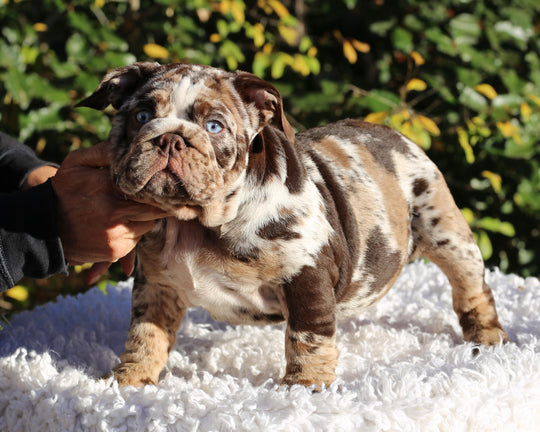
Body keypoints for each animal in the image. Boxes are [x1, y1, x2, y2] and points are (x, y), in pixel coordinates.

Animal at [78, 61, 508, 388]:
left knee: (472, 288)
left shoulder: (306, 275)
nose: (169, 138)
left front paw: (305, 386)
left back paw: (486, 337)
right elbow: (145, 336)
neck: (195, 222)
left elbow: (308, 336)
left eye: (214, 126)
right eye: (141, 116)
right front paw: (128, 381)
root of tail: (393, 133)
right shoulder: (157, 287)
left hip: (447, 232)